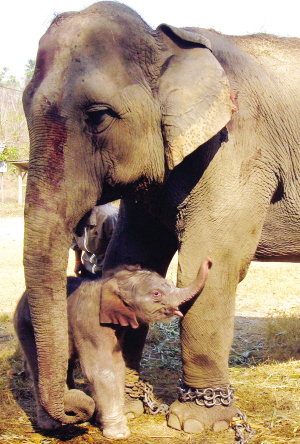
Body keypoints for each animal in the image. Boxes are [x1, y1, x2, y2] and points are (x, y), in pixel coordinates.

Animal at [14, 258, 211, 438]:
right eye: (156, 293)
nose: (209, 261)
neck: (108, 283)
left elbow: (118, 366)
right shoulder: (90, 325)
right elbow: (102, 371)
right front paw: (119, 434)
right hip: (26, 327)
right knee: (38, 369)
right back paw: (50, 425)